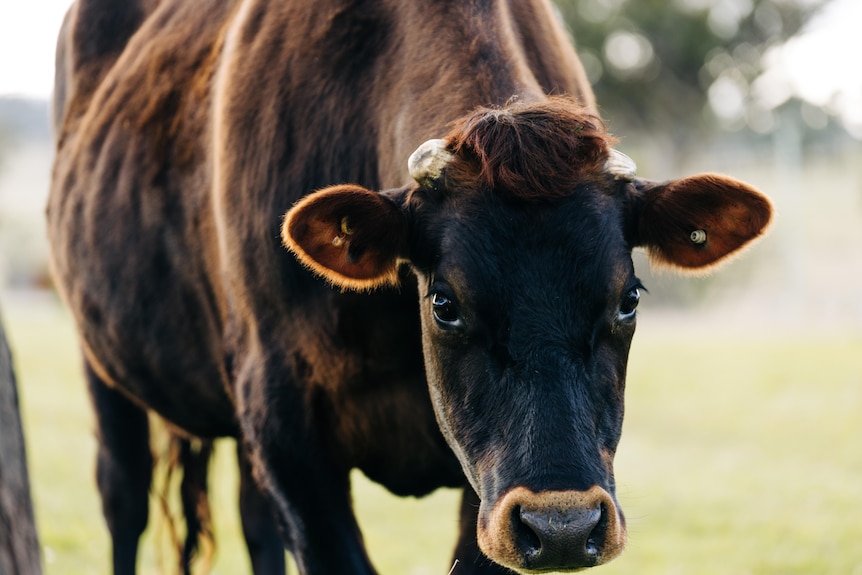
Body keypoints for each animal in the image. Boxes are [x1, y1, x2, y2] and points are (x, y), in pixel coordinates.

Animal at [49, 1, 776, 575]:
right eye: (444, 302)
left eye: (628, 299)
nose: (566, 525)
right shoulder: (287, 426)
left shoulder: (487, 494)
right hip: (102, 363)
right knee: (124, 498)